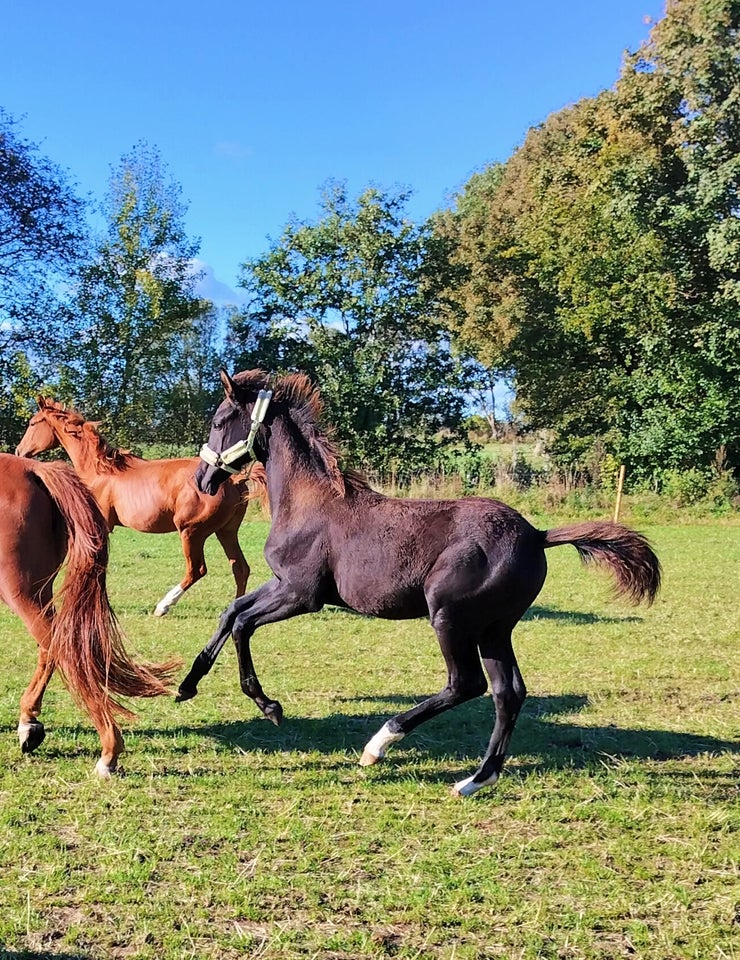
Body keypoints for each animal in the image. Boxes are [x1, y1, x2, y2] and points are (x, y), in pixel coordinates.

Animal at [0, 454, 178, 776]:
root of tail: (35, 468)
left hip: (23, 593)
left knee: (65, 651)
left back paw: (109, 751)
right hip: (40, 592)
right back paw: (30, 723)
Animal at [15, 396, 268, 616]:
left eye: (32, 423)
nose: (19, 451)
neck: (99, 470)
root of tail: (234, 480)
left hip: (191, 531)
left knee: (196, 570)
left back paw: (162, 607)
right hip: (226, 531)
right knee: (240, 568)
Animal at [181, 372, 664, 800]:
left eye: (220, 421)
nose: (202, 480)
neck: (309, 503)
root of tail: (537, 534)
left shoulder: (302, 594)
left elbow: (242, 624)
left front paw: (270, 707)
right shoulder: (282, 584)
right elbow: (231, 611)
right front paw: (187, 685)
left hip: (450, 616)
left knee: (466, 684)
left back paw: (379, 745)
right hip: (494, 629)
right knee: (508, 692)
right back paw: (476, 780)